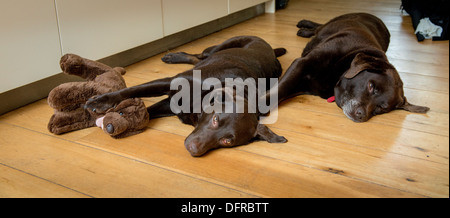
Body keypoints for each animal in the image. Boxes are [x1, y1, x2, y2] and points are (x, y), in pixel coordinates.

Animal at [278, 13, 428, 122]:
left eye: (381, 108)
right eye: (371, 86)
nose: (361, 115)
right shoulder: (301, 64)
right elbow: (280, 89)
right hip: (336, 22)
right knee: (320, 26)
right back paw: (304, 26)